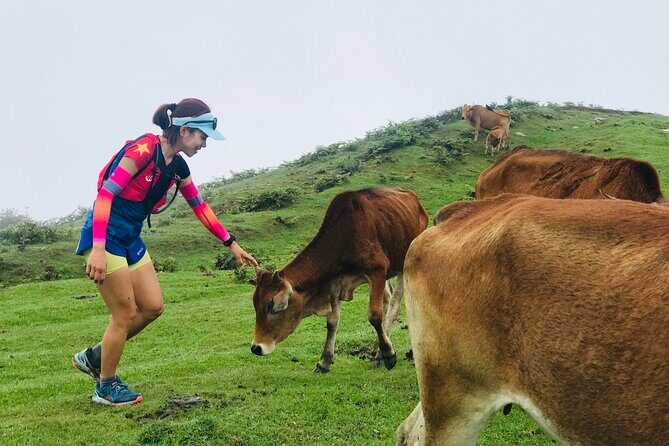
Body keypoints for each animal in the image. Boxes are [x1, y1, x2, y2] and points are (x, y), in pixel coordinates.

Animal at [250, 187, 429, 373]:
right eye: (255, 305)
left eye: (272, 307)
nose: (256, 347)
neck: (343, 236)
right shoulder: (335, 282)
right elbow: (332, 322)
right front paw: (324, 361)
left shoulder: (377, 271)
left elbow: (374, 316)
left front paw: (388, 354)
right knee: (387, 300)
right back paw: (377, 348)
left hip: (403, 263)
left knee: (393, 305)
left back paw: (381, 352)